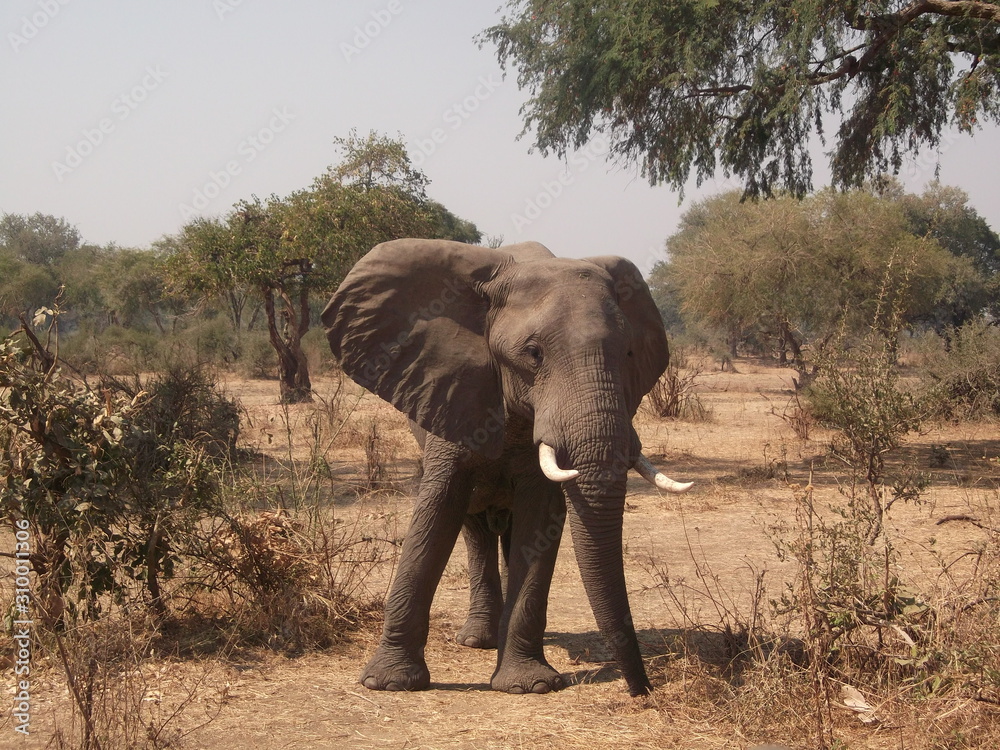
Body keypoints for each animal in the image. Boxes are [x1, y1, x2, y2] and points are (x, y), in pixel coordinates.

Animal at [321, 238, 691, 697]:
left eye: (628, 353)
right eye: (533, 354)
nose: (643, 690)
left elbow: (540, 519)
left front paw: (529, 685)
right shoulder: (453, 390)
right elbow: (436, 512)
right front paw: (388, 683)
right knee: (475, 527)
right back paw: (477, 639)